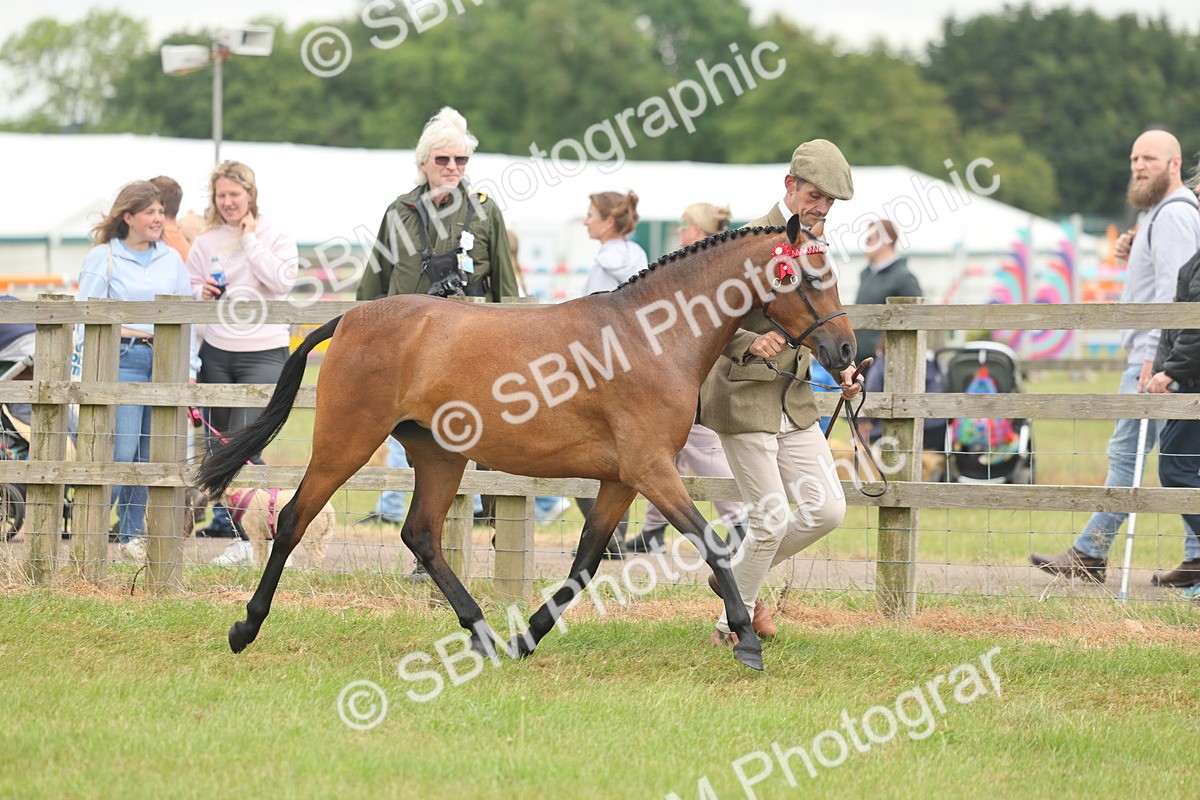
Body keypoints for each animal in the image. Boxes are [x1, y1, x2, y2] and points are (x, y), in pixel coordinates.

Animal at [196, 215, 855, 671]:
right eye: (806, 277)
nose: (847, 351)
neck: (650, 337)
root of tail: (351, 318)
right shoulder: (651, 470)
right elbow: (712, 545)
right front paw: (746, 639)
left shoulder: (621, 479)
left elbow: (586, 562)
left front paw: (526, 638)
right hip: (346, 443)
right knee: (293, 520)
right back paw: (245, 629)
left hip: (439, 455)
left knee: (422, 536)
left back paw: (485, 636)